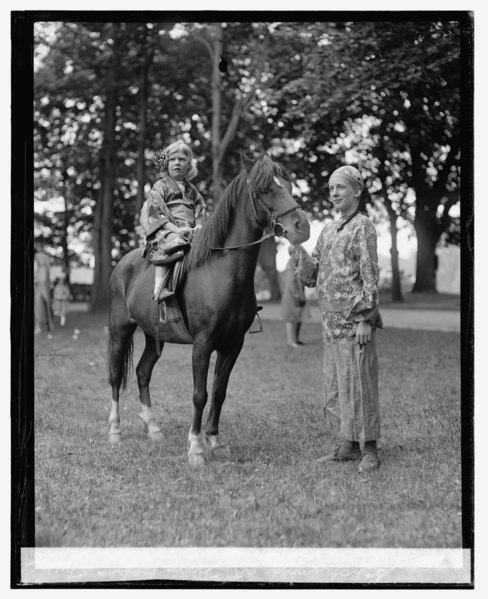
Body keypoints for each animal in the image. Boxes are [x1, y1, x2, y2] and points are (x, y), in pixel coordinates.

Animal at [108, 152, 310, 466]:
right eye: (265, 189)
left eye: (288, 185)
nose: (302, 226)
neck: (221, 273)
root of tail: (121, 266)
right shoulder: (202, 344)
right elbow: (199, 394)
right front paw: (195, 448)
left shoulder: (233, 345)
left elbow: (219, 391)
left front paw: (214, 441)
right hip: (120, 329)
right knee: (116, 376)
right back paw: (115, 432)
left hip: (154, 337)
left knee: (142, 372)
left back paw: (154, 430)